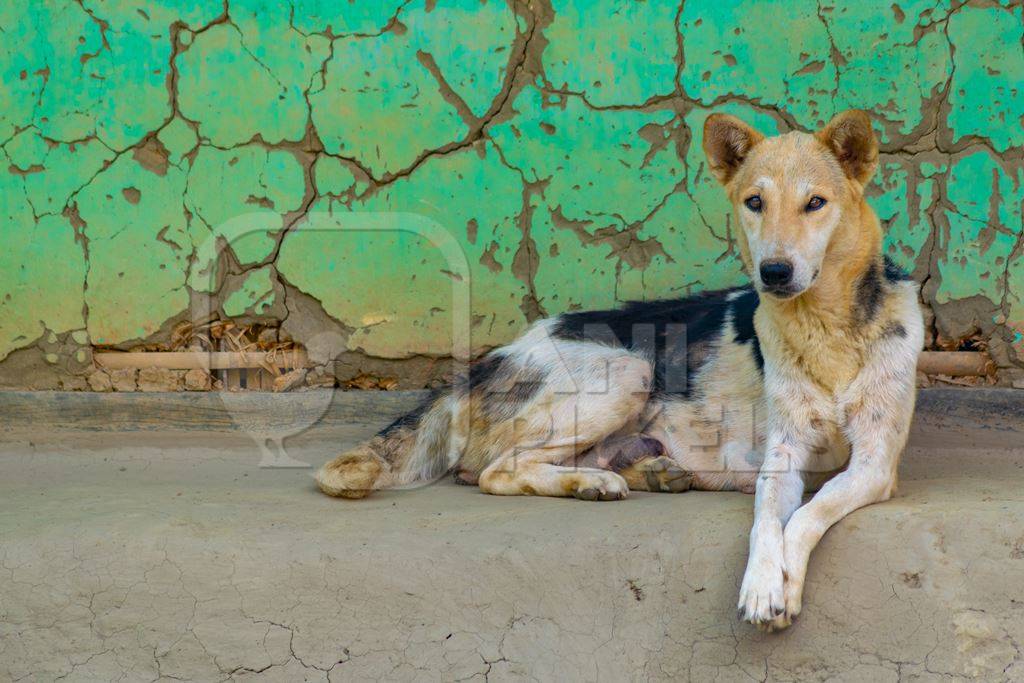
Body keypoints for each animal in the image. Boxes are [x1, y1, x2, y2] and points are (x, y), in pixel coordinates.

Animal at [315, 111, 925, 630]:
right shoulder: (785, 452)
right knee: (494, 471)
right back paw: (596, 482)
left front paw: (781, 578)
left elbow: (807, 514)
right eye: (755, 202)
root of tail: (487, 361)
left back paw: (647, 472)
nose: (774, 271)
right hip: (628, 370)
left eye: (815, 203)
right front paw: (762, 585)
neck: (829, 330)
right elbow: (768, 522)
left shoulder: (873, 462)